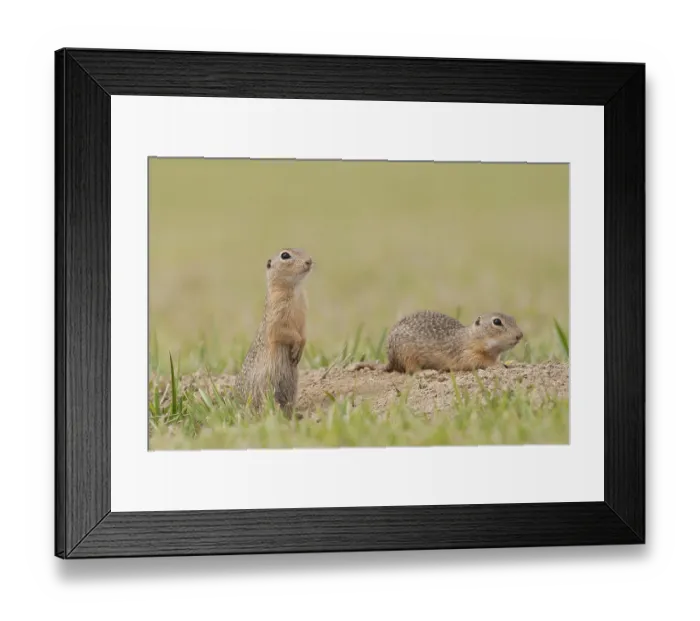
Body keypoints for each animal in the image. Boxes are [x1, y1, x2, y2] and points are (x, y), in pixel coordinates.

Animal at [234, 248, 313, 414]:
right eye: (285, 255)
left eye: (302, 249)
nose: (309, 261)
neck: (294, 290)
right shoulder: (277, 315)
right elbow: (280, 331)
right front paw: (296, 347)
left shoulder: (303, 311)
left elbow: (303, 332)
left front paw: (301, 348)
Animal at [350, 310, 524, 374]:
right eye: (497, 322)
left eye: (514, 318)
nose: (520, 335)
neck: (471, 337)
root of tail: (391, 361)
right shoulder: (468, 354)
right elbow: (480, 362)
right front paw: (499, 365)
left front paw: (509, 363)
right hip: (408, 355)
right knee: (411, 371)